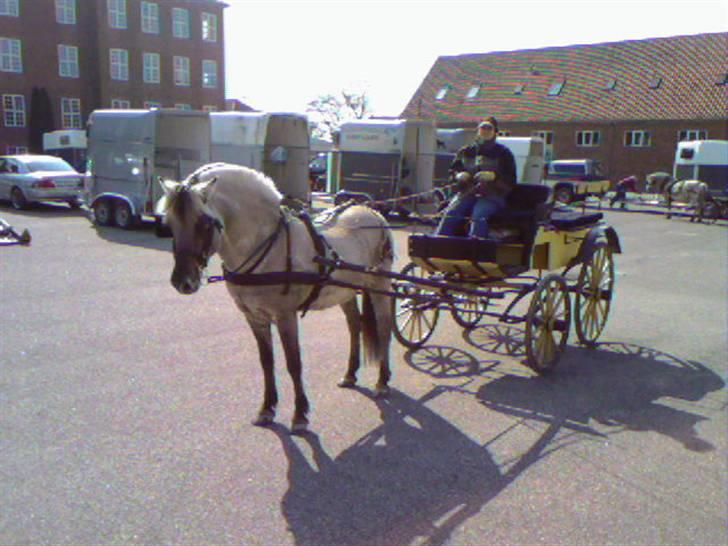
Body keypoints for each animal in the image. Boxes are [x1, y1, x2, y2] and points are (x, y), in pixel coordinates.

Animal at [160, 163, 396, 434]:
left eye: (205, 223)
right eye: (169, 222)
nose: (183, 281)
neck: (267, 245)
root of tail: (372, 212)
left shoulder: (285, 316)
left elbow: (294, 363)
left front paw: (300, 415)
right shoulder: (254, 317)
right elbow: (267, 362)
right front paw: (266, 409)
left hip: (380, 287)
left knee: (384, 329)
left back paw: (382, 382)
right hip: (345, 292)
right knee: (354, 327)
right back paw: (350, 374)